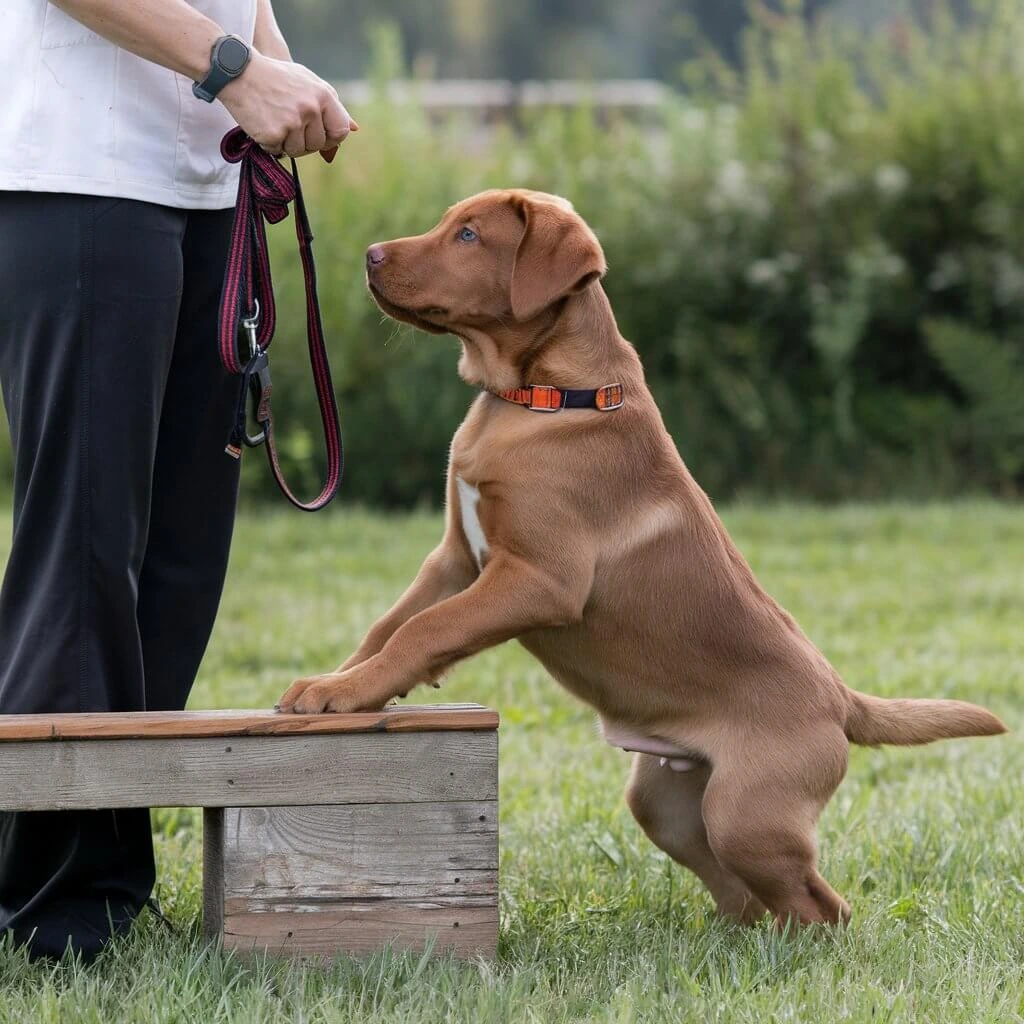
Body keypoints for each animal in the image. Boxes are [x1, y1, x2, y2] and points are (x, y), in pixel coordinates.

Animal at [276, 190, 1003, 929]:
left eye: (470, 236)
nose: (370, 255)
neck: (539, 397)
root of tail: (841, 698)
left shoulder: (537, 578)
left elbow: (424, 630)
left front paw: (343, 691)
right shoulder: (456, 560)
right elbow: (390, 626)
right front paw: (337, 685)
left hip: (749, 813)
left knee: (822, 906)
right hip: (670, 803)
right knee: (742, 888)